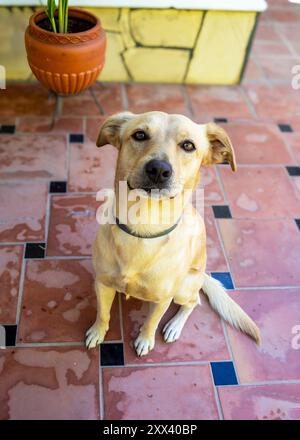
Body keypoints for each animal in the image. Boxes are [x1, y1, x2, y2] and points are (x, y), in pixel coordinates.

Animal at [85, 111, 262, 356]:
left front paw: (145, 340)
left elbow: (151, 322)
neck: (144, 227)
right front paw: (97, 332)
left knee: (193, 302)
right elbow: (103, 313)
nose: (158, 169)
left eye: (188, 145)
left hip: (184, 288)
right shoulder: (102, 283)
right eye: (139, 135)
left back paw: (174, 326)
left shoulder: (163, 299)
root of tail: (202, 274)